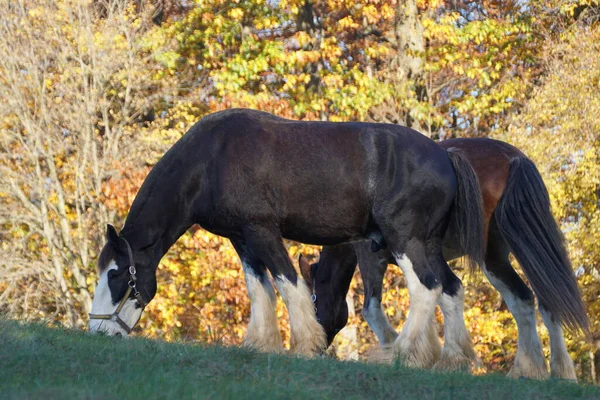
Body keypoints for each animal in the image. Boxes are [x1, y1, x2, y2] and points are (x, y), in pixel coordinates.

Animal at [86, 108, 486, 364]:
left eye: (116, 276)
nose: (97, 333)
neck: (212, 160)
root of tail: (446, 156)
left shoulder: (262, 231)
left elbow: (288, 283)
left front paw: (305, 345)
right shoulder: (242, 238)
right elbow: (259, 289)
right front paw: (259, 345)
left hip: (405, 241)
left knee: (427, 288)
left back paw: (404, 353)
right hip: (427, 244)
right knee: (451, 289)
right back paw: (452, 359)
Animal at [302, 138, 588, 378]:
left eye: (313, 301)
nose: (315, 349)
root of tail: (512, 158)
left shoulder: (372, 259)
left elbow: (374, 309)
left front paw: (398, 351)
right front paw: (424, 353)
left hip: (489, 254)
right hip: (510, 251)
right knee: (536, 299)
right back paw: (542, 371)